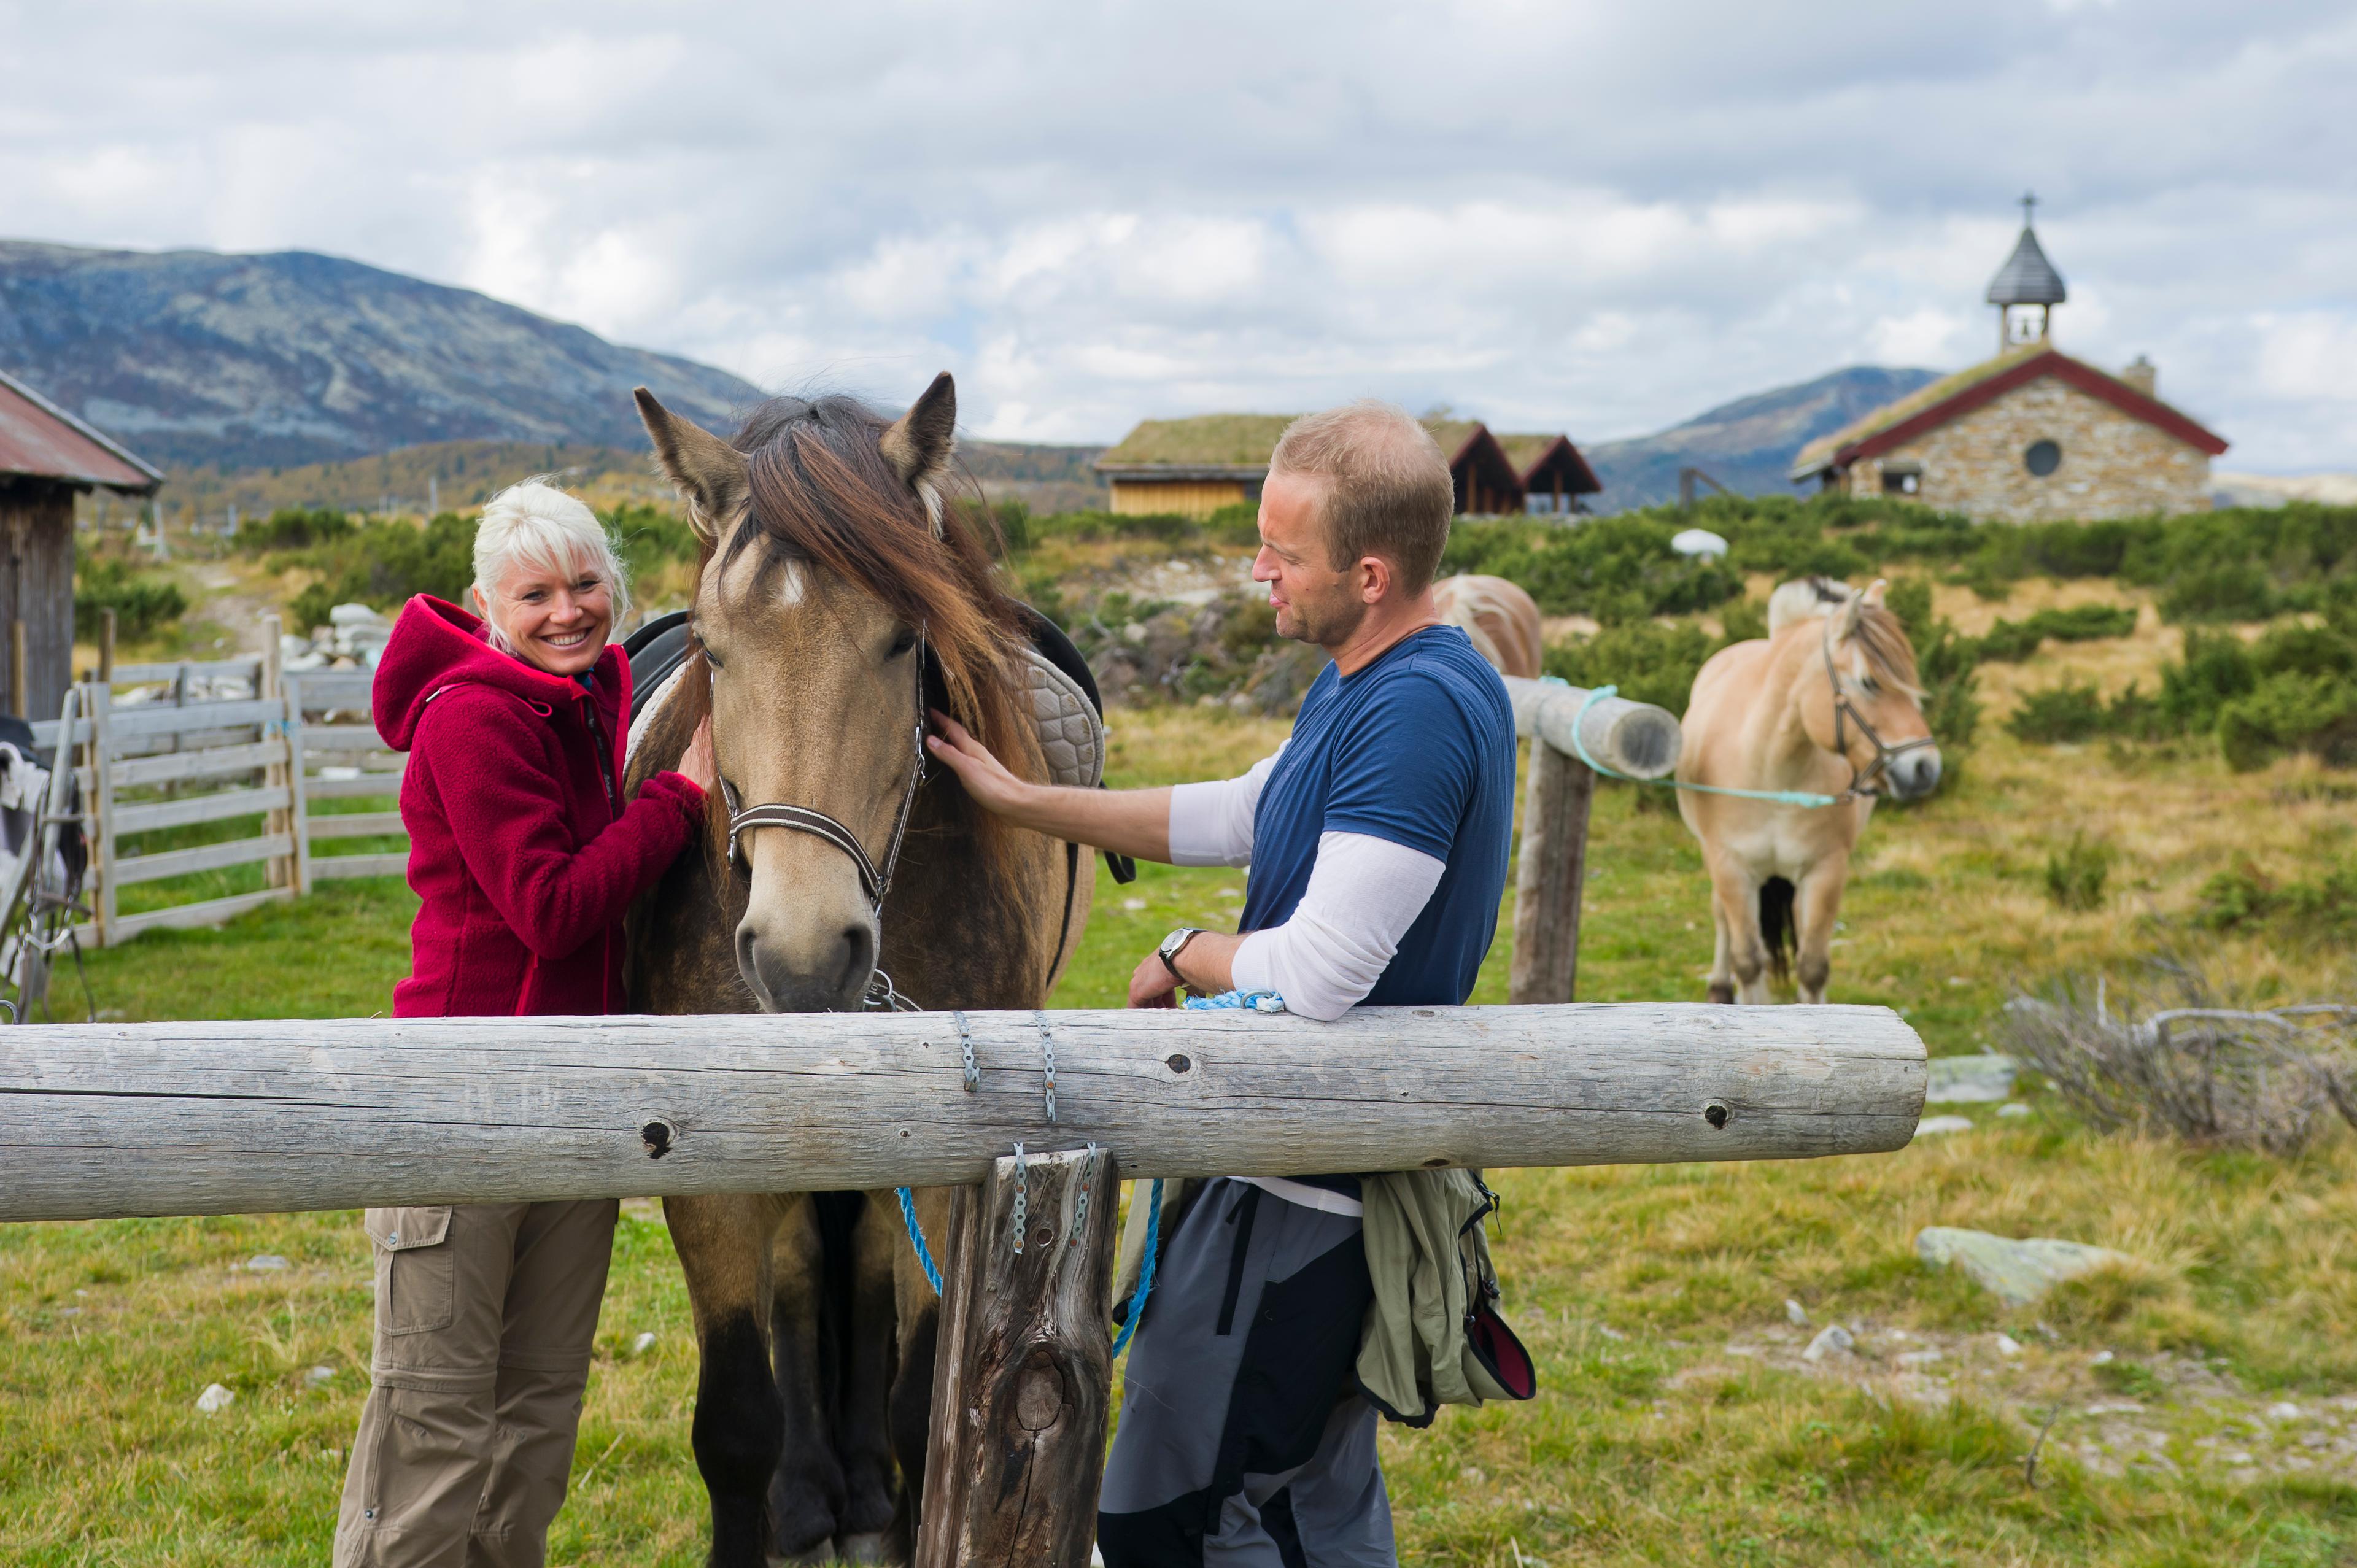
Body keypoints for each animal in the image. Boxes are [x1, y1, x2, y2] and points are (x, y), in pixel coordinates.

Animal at [623, 375, 1088, 1566]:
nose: (802, 952)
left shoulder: (952, 1166)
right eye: (712, 644)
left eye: (903, 637)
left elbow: (925, 1407)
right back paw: (810, 1492)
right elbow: (735, 1422)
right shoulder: (702, 1174)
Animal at [1677, 578, 1941, 1005]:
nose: (1926, 768)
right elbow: (1747, 962)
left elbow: (1813, 968)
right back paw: (1719, 987)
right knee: (1722, 917)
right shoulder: (1731, 866)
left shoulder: (1825, 871)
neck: (1771, 777)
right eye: (1869, 682)